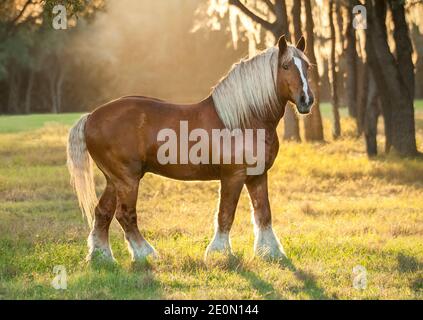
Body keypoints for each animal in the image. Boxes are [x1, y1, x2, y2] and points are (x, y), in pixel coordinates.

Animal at [67, 35, 314, 262]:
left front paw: (270, 252)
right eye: (285, 66)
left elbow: (263, 213)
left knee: (103, 212)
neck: (246, 120)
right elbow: (226, 214)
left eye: (307, 67)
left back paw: (102, 256)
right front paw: (219, 252)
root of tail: (91, 117)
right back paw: (145, 254)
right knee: (125, 215)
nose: (306, 100)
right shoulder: (233, 176)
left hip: (114, 180)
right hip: (127, 179)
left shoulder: (258, 175)